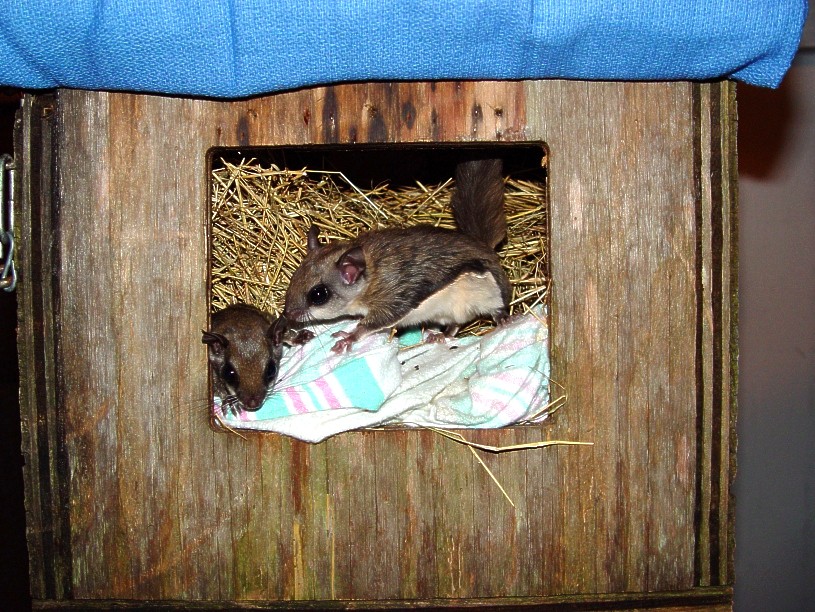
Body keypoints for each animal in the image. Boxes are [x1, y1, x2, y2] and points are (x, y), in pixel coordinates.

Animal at [282, 158, 511, 353]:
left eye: (318, 295)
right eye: (293, 279)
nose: (287, 315)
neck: (369, 277)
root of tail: (483, 246)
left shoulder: (393, 297)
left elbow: (371, 323)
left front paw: (349, 337)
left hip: (487, 291)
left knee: (496, 308)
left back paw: (504, 320)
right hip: (451, 311)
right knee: (454, 325)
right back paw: (441, 336)